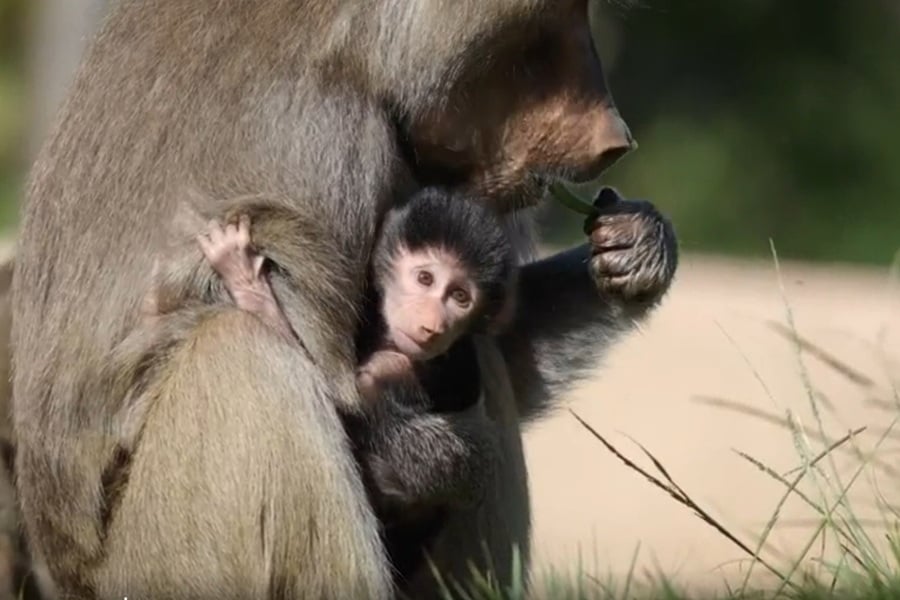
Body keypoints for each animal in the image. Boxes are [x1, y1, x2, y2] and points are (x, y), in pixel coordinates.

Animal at [11, 0, 678, 598]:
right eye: (543, 31)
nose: (614, 140)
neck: (356, 47)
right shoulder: (319, 148)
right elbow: (346, 397)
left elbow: (500, 347)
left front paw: (635, 252)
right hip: (160, 561)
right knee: (244, 356)